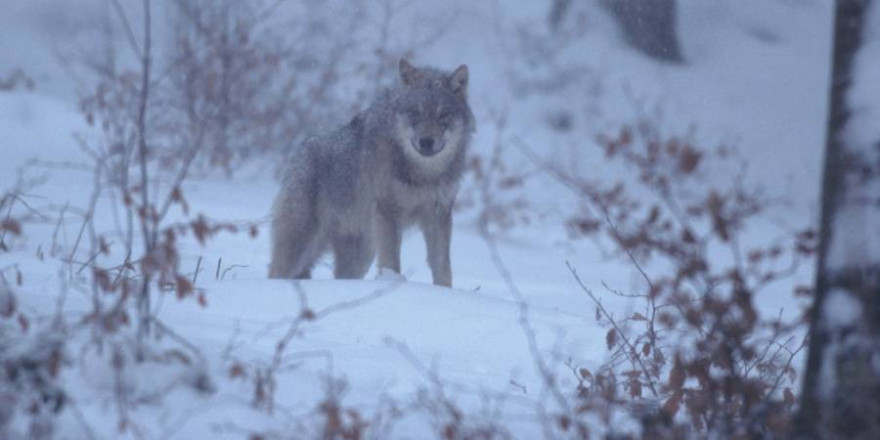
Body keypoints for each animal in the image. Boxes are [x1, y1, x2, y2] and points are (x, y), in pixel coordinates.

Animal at [268, 58, 474, 288]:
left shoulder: (439, 215)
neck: (424, 173)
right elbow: (392, 262)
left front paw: (445, 292)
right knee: (276, 271)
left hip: (360, 256)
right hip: (302, 245)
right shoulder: (388, 212)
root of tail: (299, 153)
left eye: (443, 115)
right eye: (415, 112)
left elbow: (443, 267)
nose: (426, 142)